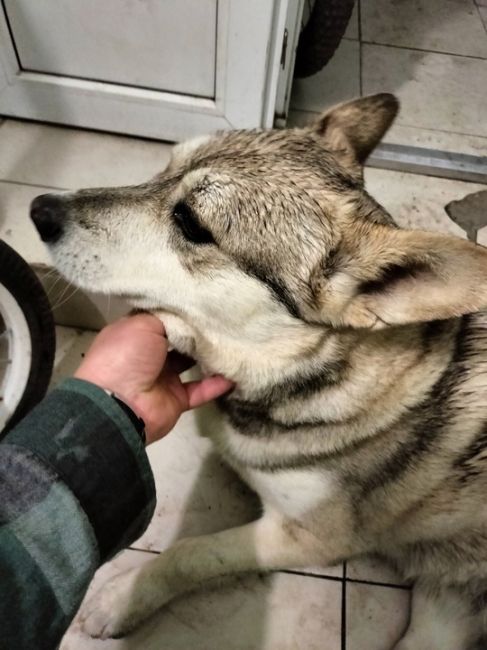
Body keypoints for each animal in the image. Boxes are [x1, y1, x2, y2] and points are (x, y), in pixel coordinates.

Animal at [29, 92, 487, 648]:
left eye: (191, 223)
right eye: (164, 168)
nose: (38, 210)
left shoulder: (308, 538)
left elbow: (190, 551)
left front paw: (124, 595)